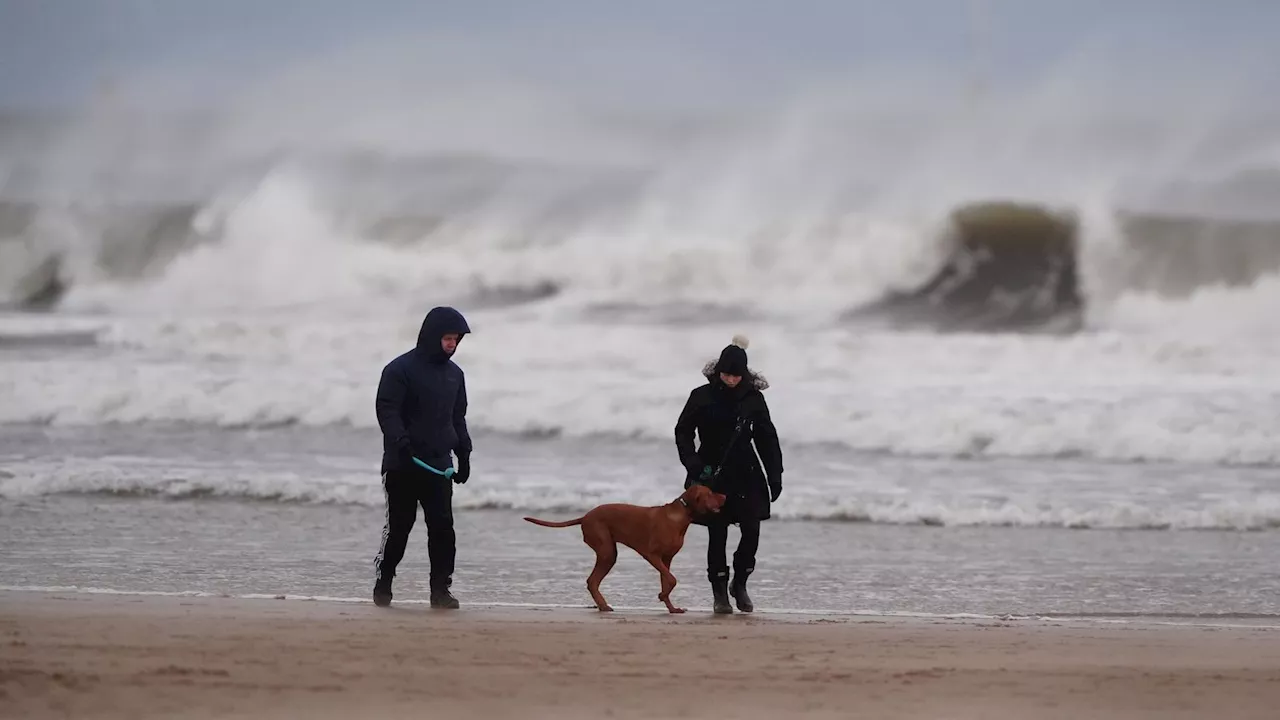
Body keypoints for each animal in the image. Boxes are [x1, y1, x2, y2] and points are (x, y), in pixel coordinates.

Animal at [519, 481, 727, 609]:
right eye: (710, 493)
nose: (725, 496)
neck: (680, 516)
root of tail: (585, 516)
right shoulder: (652, 555)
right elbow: (673, 579)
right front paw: (663, 596)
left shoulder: (666, 559)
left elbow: (667, 580)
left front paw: (670, 606)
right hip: (607, 551)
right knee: (592, 581)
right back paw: (603, 606)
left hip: (608, 553)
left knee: (592, 581)